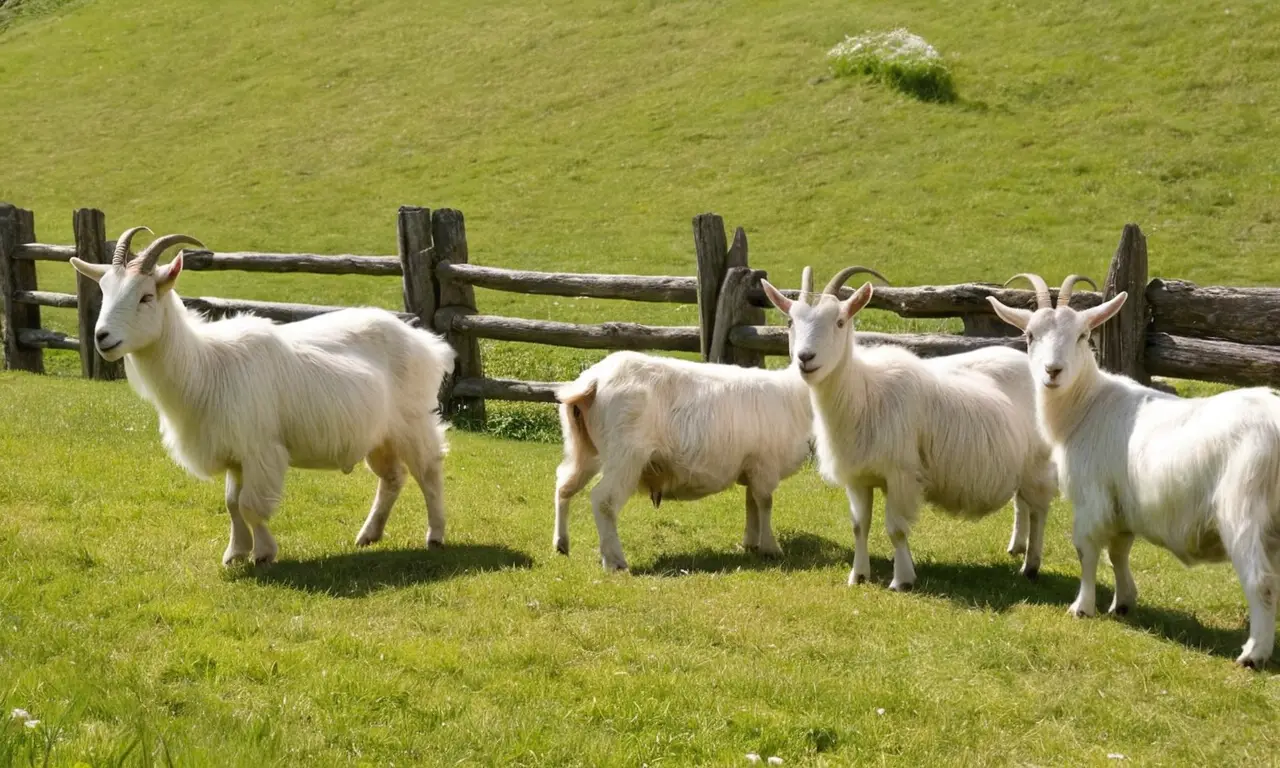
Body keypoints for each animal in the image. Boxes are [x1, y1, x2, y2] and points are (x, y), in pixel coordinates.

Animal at [70, 227, 456, 566]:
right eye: (105, 291)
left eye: (146, 296)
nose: (103, 337)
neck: (206, 366)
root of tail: (430, 345)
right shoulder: (235, 453)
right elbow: (231, 503)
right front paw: (235, 553)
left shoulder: (260, 449)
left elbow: (250, 505)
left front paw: (263, 554)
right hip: (378, 436)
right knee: (393, 478)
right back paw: (368, 535)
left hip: (412, 421)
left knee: (428, 470)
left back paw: (435, 535)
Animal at [554, 340, 813, 571]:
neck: (793, 395)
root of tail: (594, 380)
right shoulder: (764, 464)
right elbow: (765, 503)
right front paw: (771, 548)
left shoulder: (752, 465)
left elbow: (751, 503)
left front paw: (751, 544)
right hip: (626, 455)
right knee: (603, 500)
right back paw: (614, 561)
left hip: (583, 447)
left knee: (564, 484)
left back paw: (561, 544)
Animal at [761, 267, 1056, 590]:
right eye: (790, 321)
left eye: (839, 321)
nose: (805, 358)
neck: (864, 393)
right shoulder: (858, 476)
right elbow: (859, 526)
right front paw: (858, 575)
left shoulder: (900, 473)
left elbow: (896, 529)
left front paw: (902, 579)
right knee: (1024, 503)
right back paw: (1018, 548)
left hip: (1038, 461)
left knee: (1040, 510)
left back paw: (1031, 566)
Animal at [989, 273, 1280, 667]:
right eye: (1030, 335)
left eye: (1082, 335)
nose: (1053, 371)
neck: (1087, 406)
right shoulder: (1122, 503)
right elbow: (1119, 552)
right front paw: (1123, 603)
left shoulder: (1092, 498)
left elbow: (1087, 549)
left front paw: (1082, 607)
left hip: (1243, 509)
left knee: (1261, 580)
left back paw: (1253, 653)